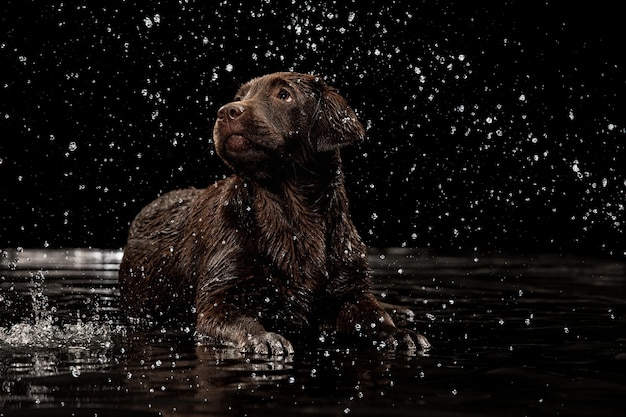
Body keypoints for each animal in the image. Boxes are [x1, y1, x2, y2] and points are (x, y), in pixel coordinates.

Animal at [117, 71, 428, 354]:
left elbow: (374, 315)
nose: (226, 111)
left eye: (284, 95)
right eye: (240, 96)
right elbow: (243, 322)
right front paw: (263, 337)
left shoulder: (350, 287)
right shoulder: (219, 298)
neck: (291, 214)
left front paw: (399, 333)